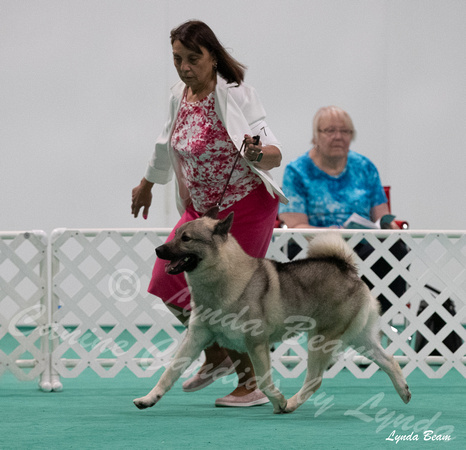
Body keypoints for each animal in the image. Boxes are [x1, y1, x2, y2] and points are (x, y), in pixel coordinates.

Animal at [134, 211, 412, 414]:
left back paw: (291, 404)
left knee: (314, 380)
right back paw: (404, 391)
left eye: (186, 239)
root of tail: (345, 267)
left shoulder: (256, 343)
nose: (159, 250)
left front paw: (278, 401)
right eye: (175, 235)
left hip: (321, 341)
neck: (223, 279)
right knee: (390, 360)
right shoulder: (196, 338)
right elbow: (169, 373)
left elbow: (265, 381)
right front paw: (149, 399)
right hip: (358, 338)